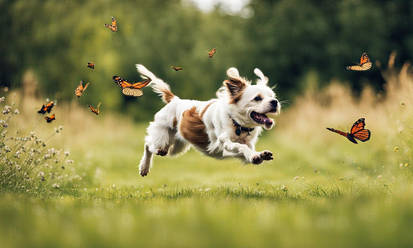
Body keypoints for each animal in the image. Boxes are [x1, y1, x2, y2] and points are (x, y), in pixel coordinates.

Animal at [135, 64, 280, 176]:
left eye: (273, 96)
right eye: (257, 98)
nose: (275, 102)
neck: (237, 123)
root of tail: (174, 100)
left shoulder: (238, 149)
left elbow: (247, 151)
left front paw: (260, 155)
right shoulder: (225, 143)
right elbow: (240, 146)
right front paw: (255, 155)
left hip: (176, 147)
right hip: (162, 137)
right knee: (149, 146)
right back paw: (144, 167)